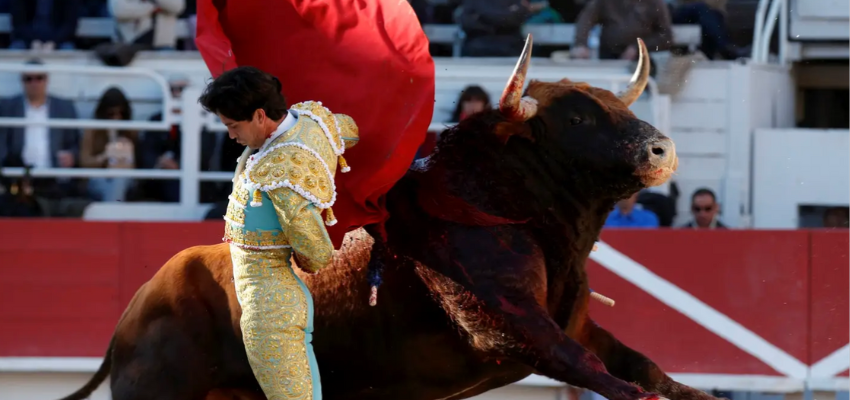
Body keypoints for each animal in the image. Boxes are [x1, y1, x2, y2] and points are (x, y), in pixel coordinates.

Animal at [59, 36, 712, 400]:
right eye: (575, 118)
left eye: (609, 106)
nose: (663, 150)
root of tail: (130, 315)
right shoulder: (507, 325)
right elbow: (591, 367)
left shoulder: (575, 323)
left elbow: (641, 364)